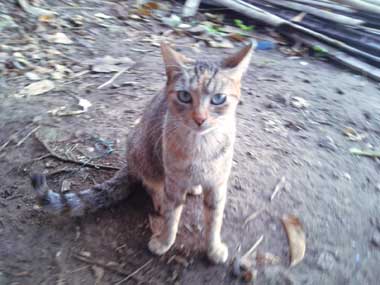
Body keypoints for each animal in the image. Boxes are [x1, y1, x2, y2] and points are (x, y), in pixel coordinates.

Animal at [31, 42, 254, 264]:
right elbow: (171, 219)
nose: (200, 119)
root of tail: (129, 164)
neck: (201, 146)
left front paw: (214, 248)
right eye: (184, 96)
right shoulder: (173, 183)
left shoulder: (217, 186)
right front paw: (164, 242)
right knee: (151, 184)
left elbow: (214, 222)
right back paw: (160, 199)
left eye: (219, 99)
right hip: (145, 157)